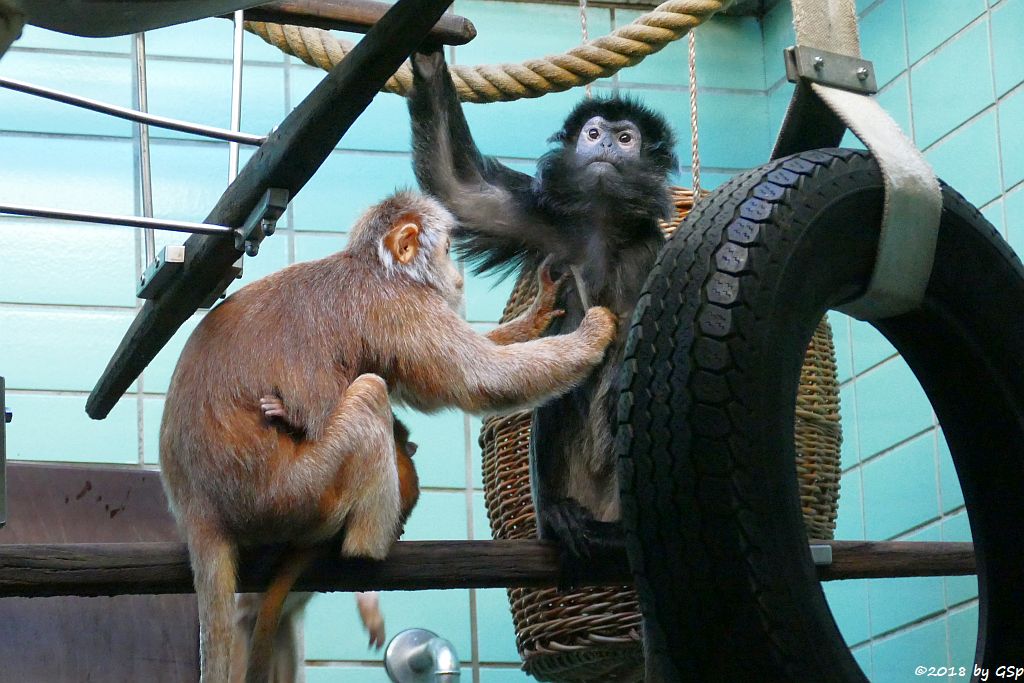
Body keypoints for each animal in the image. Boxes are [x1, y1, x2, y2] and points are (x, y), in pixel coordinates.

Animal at [155, 188, 610, 683]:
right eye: (447, 251)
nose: (457, 279)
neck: (375, 266)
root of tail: (198, 507)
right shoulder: (396, 307)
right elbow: (481, 380)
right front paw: (595, 334)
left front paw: (543, 305)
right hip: (292, 496)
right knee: (371, 394)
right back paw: (368, 549)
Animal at [407, 48, 679, 561]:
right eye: (593, 134)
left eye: (626, 138)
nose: (605, 145)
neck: (603, 224)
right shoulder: (549, 221)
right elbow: (461, 190)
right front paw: (428, 57)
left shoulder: (655, 248)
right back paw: (562, 517)